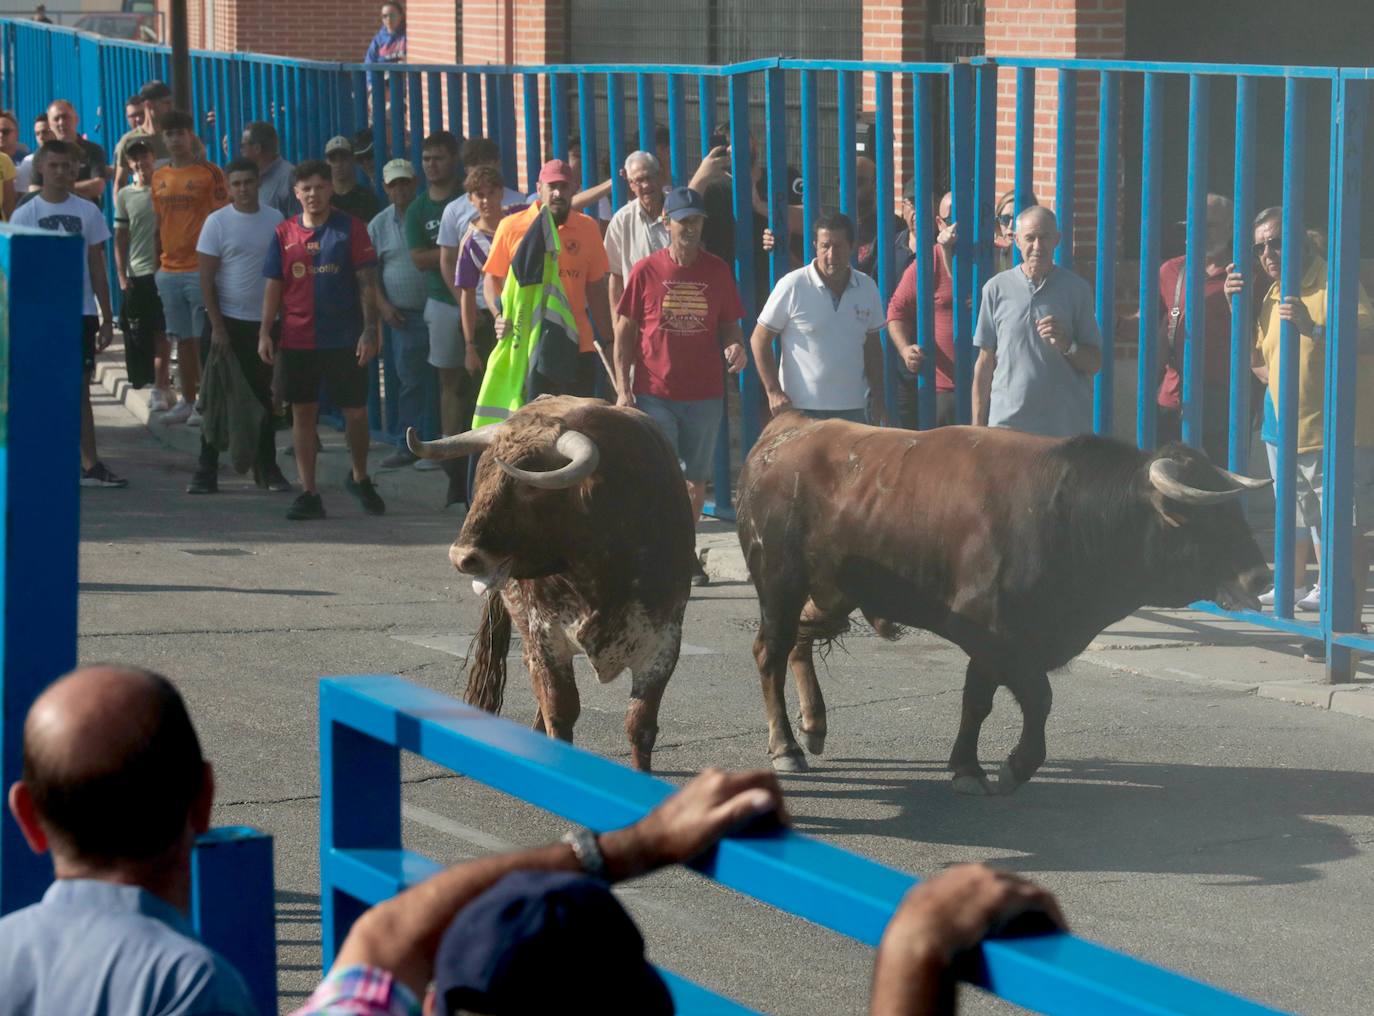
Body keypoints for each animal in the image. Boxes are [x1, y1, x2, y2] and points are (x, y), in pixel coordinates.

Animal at [403, 395, 687, 769]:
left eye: (530, 486)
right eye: (481, 476)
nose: (462, 556)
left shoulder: (662, 646)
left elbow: (639, 725)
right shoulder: (547, 639)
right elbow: (560, 712)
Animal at [741, 412, 1264, 797]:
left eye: (1235, 512)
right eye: (1202, 519)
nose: (1261, 574)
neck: (1069, 514)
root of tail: (787, 430)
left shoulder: (1003, 643)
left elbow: (987, 699)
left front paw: (973, 766)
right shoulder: (992, 634)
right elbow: (1028, 697)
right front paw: (1008, 766)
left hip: (832, 594)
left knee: (800, 641)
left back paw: (814, 726)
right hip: (780, 582)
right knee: (770, 650)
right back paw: (786, 746)